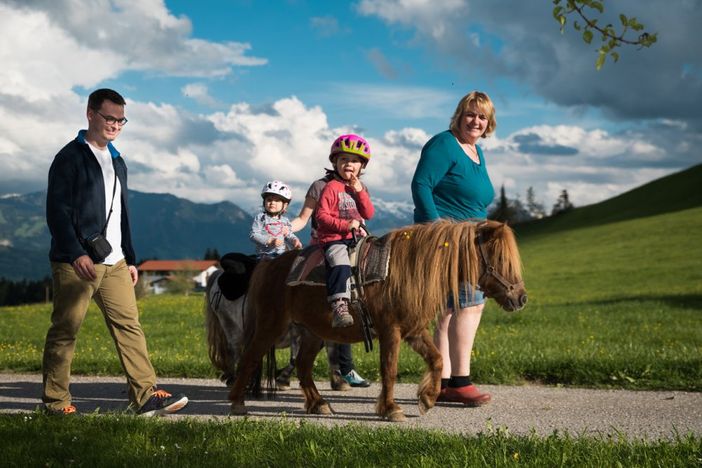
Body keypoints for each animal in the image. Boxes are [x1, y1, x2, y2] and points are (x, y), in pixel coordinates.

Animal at [228, 221, 524, 422]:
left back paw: (318, 404)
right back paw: (238, 403)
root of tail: (269, 265)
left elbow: (437, 359)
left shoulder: (414, 330)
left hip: (312, 332)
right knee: (249, 358)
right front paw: (391, 409)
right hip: (271, 326)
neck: (404, 271)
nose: (521, 298)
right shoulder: (390, 331)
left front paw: (427, 398)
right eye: (499, 257)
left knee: (302, 366)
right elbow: (389, 369)